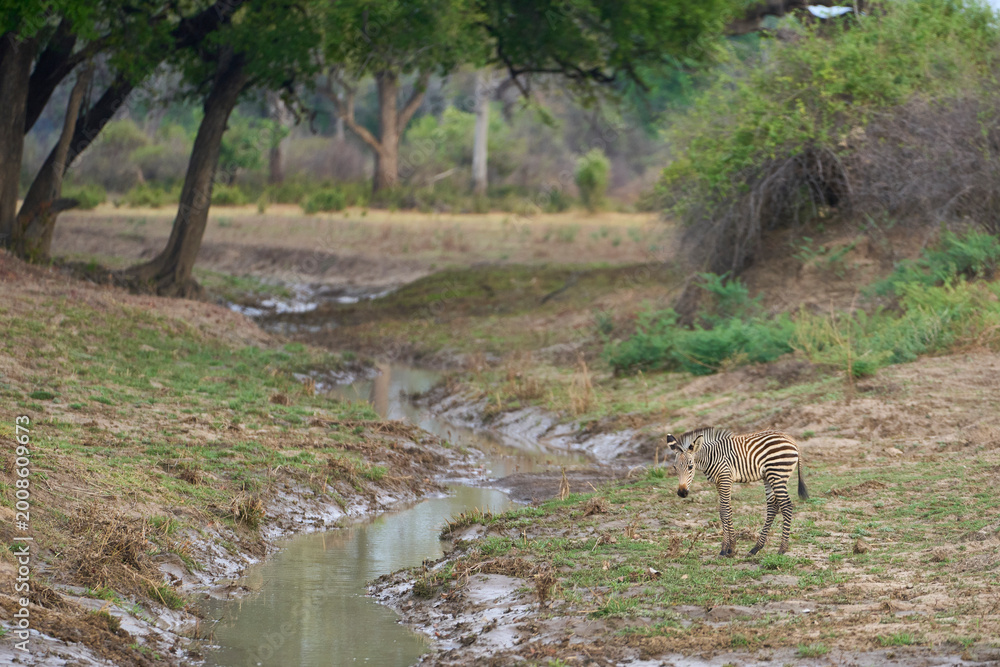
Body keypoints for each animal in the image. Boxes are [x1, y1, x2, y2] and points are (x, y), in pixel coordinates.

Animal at [666, 427, 808, 557]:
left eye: (690, 467)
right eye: (675, 467)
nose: (682, 493)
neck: (710, 458)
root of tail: (791, 439)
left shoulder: (725, 479)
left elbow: (724, 512)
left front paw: (724, 549)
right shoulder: (719, 482)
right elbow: (727, 511)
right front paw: (732, 548)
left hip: (777, 474)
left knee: (786, 506)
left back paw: (782, 549)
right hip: (768, 477)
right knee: (773, 507)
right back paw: (756, 548)